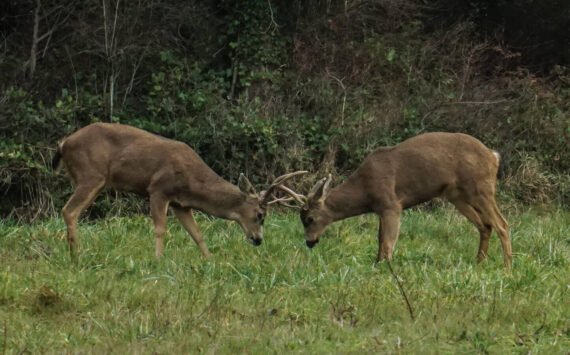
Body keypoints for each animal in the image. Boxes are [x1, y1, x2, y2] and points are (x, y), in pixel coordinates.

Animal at [53, 122, 306, 258]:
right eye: (260, 215)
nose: (258, 240)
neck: (193, 182)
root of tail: (64, 144)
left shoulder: (180, 203)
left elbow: (197, 233)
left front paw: (209, 259)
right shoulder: (158, 189)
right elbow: (160, 229)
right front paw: (158, 258)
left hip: (86, 179)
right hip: (91, 175)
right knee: (69, 210)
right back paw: (76, 253)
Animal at [280, 133, 510, 268]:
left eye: (309, 219)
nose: (309, 242)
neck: (365, 189)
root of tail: (493, 156)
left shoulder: (391, 204)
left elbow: (389, 242)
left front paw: (386, 269)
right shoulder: (381, 209)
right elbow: (380, 239)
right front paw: (377, 264)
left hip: (482, 187)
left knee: (502, 224)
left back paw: (508, 266)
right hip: (458, 195)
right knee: (485, 226)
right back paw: (478, 262)